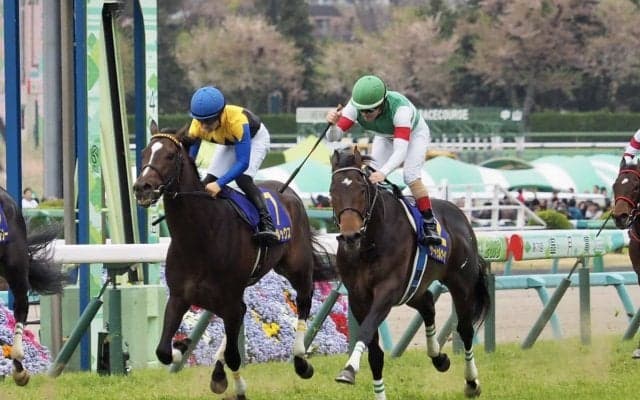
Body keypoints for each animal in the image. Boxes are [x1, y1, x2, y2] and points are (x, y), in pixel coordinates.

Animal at [132, 121, 335, 398]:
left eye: (170, 155)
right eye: (143, 153)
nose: (142, 187)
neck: (199, 237)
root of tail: (289, 192)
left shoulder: (228, 301)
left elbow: (234, 356)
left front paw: (237, 387)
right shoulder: (179, 296)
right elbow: (162, 351)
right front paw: (182, 347)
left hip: (297, 267)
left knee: (304, 301)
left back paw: (301, 361)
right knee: (246, 312)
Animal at [329, 147, 490, 399]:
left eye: (361, 189)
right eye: (332, 191)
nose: (350, 236)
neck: (369, 244)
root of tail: (460, 214)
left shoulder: (387, 291)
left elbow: (365, 330)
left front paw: (349, 368)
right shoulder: (358, 297)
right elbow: (375, 354)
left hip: (461, 284)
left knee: (465, 329)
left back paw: (472, 382)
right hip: (413, 288)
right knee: (428, 305)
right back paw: (439, 358)